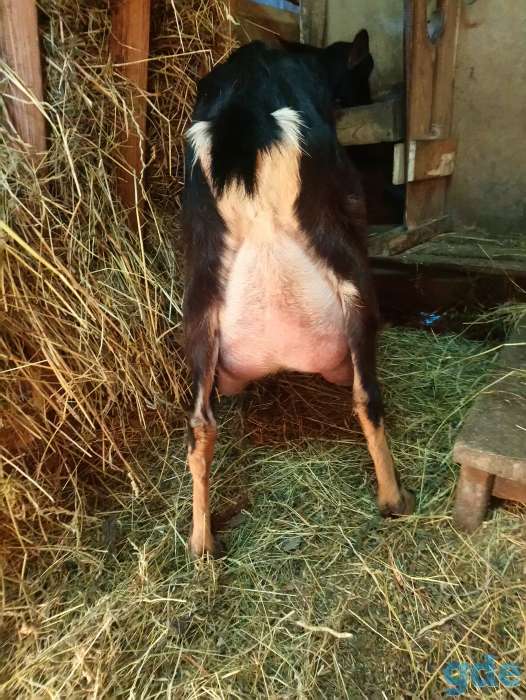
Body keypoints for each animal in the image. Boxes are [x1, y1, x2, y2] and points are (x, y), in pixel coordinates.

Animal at [183, 31, 415, 556]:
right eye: (364, 71)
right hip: (353, 287)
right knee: (366, 394)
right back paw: (394, 499)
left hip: (200, 313)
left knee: (200, 425)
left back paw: (201, 541)